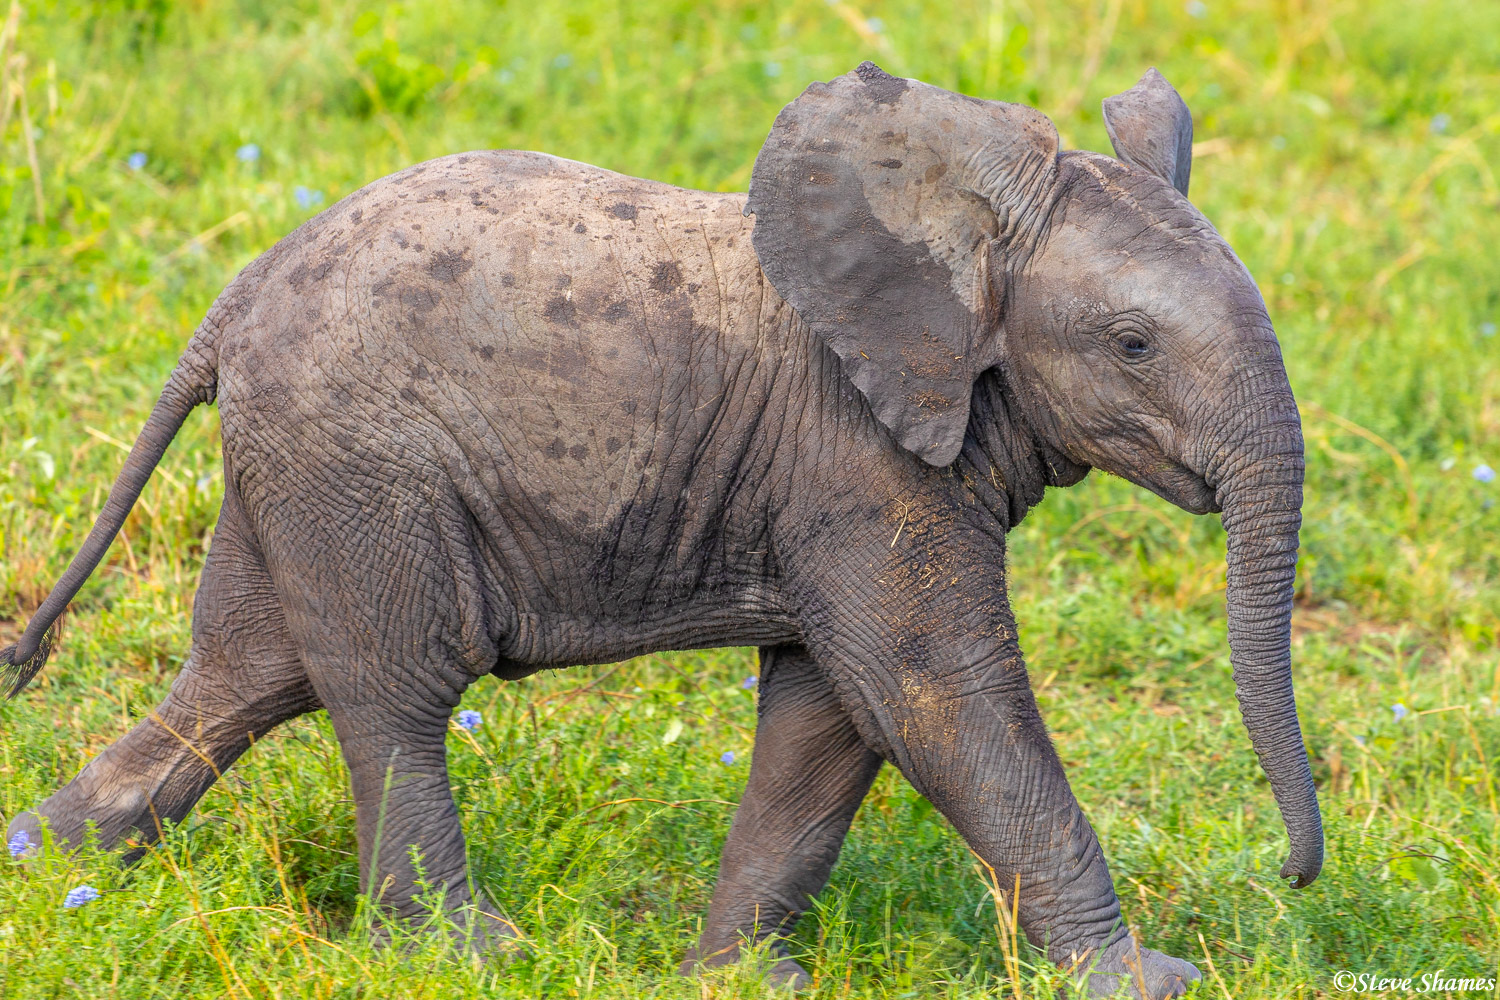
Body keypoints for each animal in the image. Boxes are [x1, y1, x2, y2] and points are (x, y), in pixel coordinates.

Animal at [1, 63, 1321, 998]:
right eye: (1134, 345)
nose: (1290, 875)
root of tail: (230, 300)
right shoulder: (858, 453)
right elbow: (933, 689)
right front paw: (1147, 981)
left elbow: (832, 714)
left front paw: (742, 981)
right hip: (363, 458)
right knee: (394, 689)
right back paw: (473, 957)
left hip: (303, 465)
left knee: (243, 672)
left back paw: (48, 869)